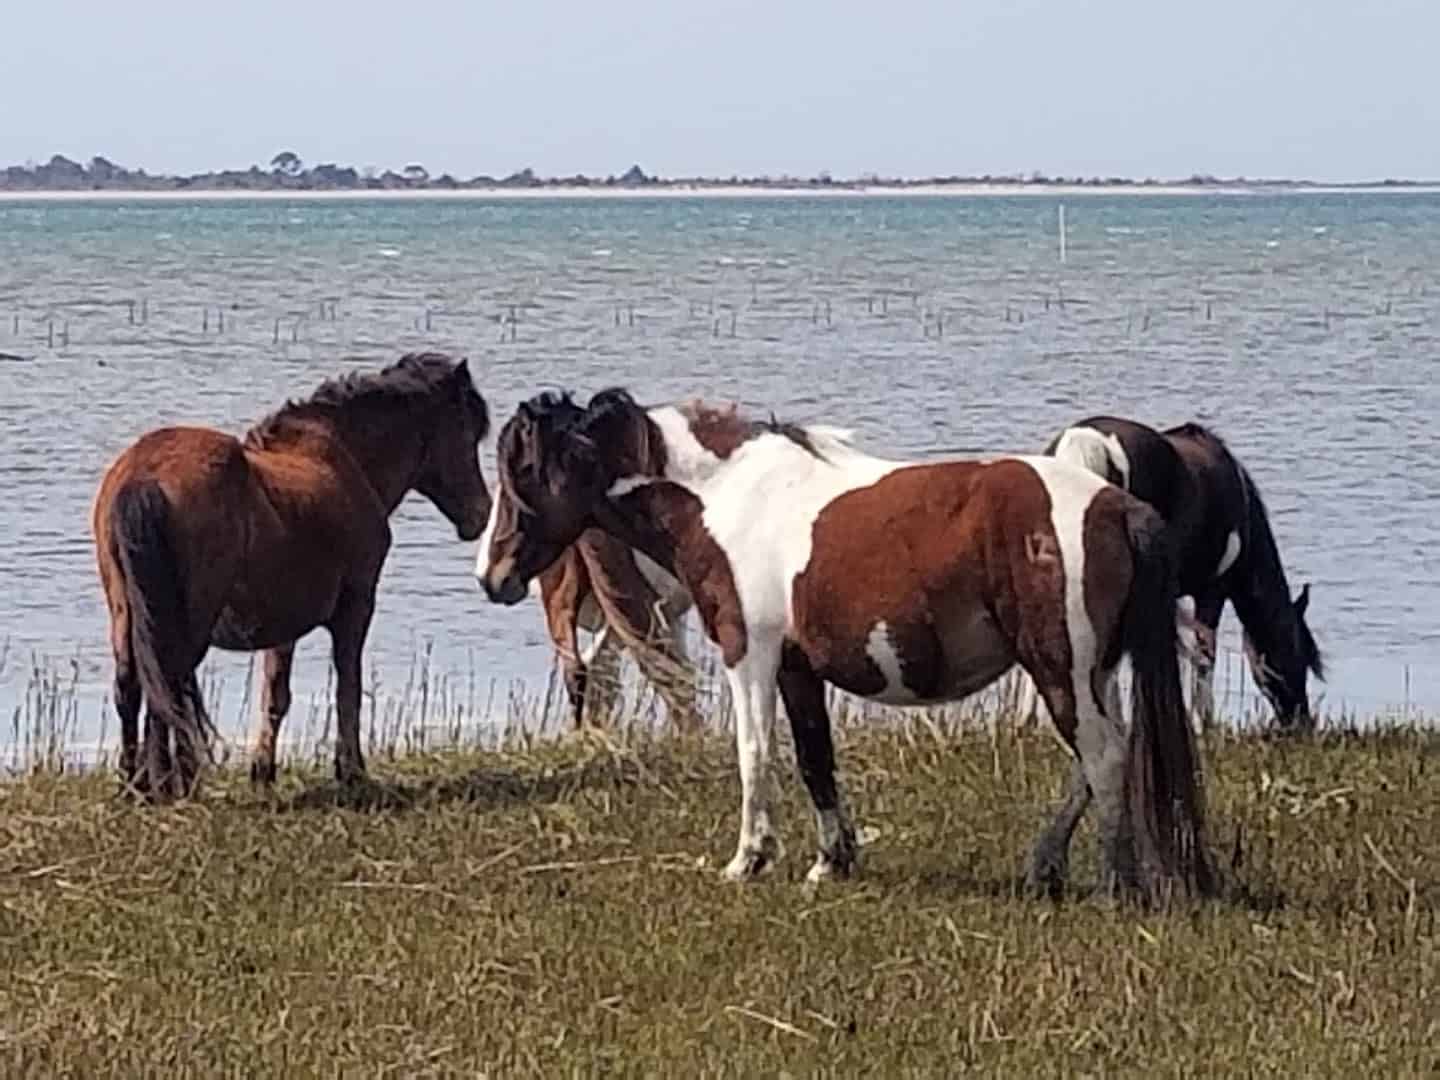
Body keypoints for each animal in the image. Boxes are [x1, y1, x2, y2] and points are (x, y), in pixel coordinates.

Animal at [91, 351, 492, 800]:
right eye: (467, 433)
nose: (481, 514)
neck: (343, 457)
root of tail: (145, 475)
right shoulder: (356, 605)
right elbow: (348, 688)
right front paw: (351, 772)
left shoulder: (281, 623)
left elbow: (275, 696)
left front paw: (263, 771)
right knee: (166, 688)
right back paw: (169, 785)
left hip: (127, 612)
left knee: (132, 687)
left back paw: (134, 785)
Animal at [477, 389, 1216, 903]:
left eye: (521, 471)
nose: (492, 575)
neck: (722, 496)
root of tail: (1117, 505)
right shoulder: (796, 668)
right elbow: (814, 758)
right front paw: (831, 860)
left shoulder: (750, 653)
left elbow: (755, 753)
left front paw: (748, 858)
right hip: (1088, 670)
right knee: (1096, 760)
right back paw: (1047, 865)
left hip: (1060, 666)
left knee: (1104, 757)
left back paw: (1114, 882)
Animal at [1034, 416, 1324, 730]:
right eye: (1299, 656)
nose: (1302, 722)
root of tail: (1085, 439)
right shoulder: (1212, 591)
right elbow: (1203, 655)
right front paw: (1202, 722)